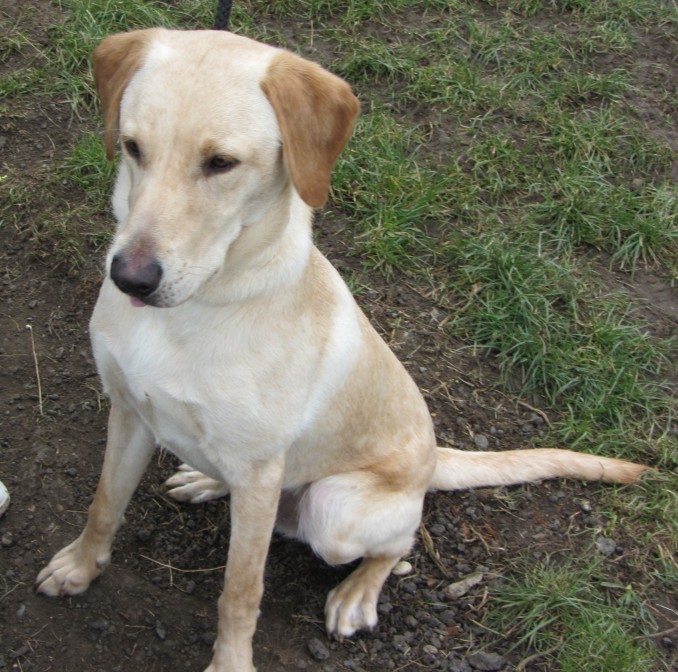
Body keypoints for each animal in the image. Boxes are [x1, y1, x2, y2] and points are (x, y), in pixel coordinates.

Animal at [34, 28, 652, 668]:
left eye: (222, 163)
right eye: (132, 147)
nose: (130, 279)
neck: (197, 308)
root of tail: (434, 459)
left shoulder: (257, 478)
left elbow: (240, 591)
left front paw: (231, 661)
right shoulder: (130, 412)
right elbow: (104, 504)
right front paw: (80, 566)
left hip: (334, 509)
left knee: (397, 544)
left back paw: (358, 591)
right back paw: (205, 480)